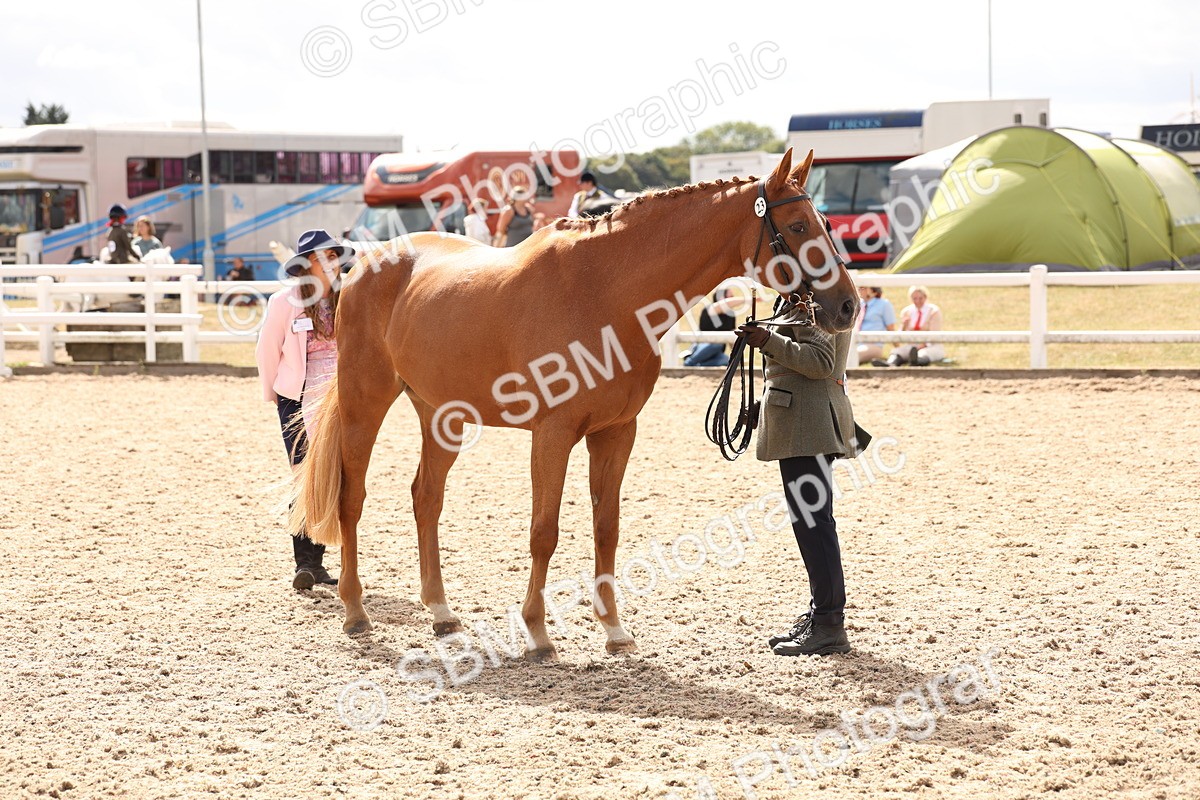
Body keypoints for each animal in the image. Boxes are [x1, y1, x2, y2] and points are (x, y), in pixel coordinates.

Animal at [288, 148, 860, 661]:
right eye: (800, 225)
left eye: (823, 222)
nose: (848, 305)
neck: (606, 293)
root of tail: (364, 265)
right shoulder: (553, 433)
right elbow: (545, 531)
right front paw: (538, 634)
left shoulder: (617, 431)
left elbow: (607, 526)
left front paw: (614, 631)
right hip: (366, 402)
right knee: (352, 499)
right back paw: (355, 612)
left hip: (441, 415)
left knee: (425, 497)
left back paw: (442, 613)